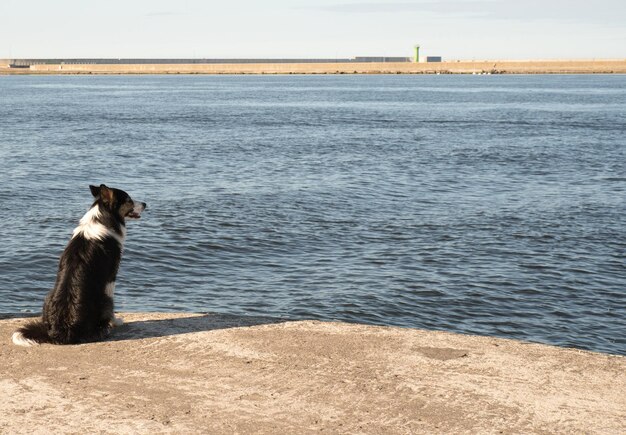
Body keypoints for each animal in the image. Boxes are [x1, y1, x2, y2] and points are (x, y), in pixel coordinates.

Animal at [12, 185, 145, 348]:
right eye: (128, 200)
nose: (145, 204)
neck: (103, 217)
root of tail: (60, 331)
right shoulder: (111, 277)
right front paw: (116, 322)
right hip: (104, 299)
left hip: (47, 296)